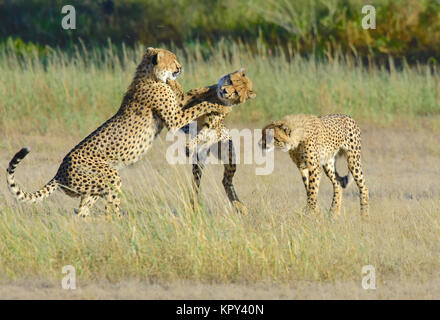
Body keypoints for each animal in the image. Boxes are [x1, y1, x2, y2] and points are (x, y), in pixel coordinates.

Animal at [6, 47, 232, 218]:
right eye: (173, 59)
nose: (180, 67)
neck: (149, 75)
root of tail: (59, 171)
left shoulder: (175, 116)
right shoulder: (174, 118)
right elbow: (198, 107)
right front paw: (218, 105)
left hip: (92, 190)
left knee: (82, 212)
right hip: (111, 177)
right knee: (110, 209)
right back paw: (120, 224)